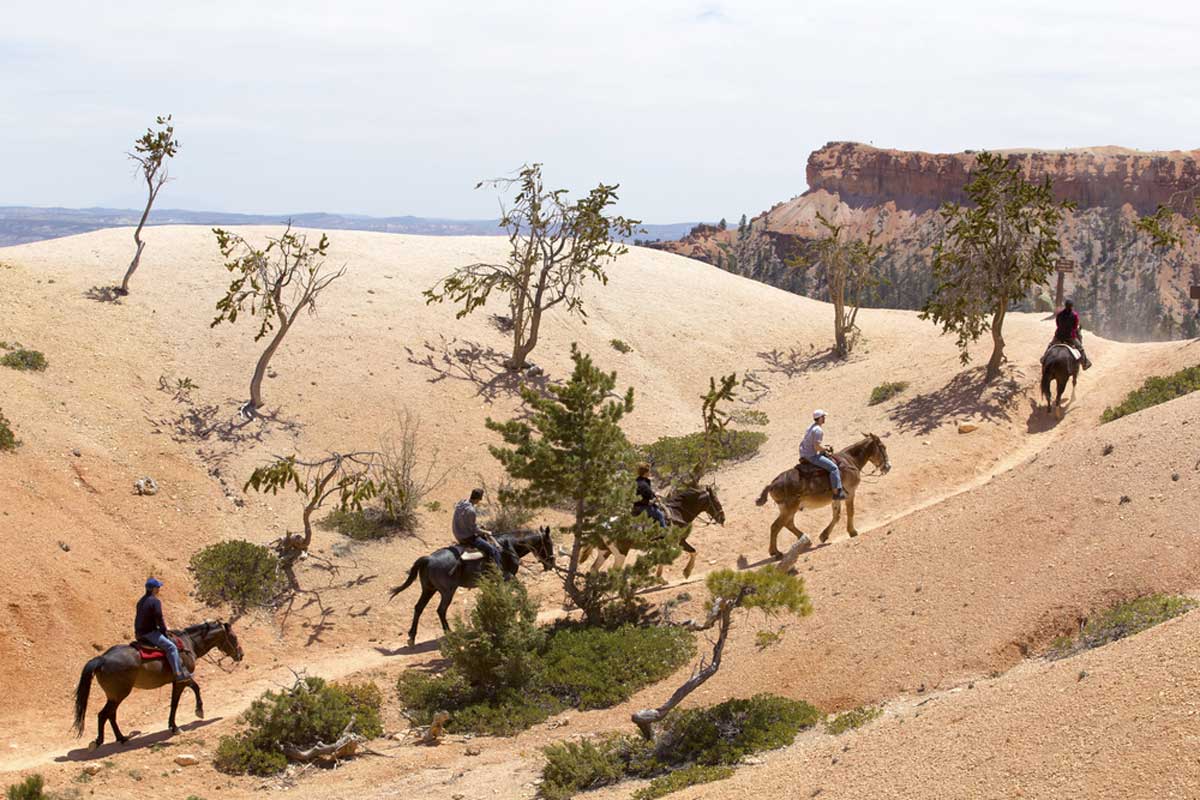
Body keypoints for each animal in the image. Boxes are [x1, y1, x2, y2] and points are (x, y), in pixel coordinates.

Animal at [70, 618, 243, 753]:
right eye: (233, 637)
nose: (241, 654)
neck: (188, 644)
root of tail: (102, 659)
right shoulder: (182, 679)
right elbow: (188, 694)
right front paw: (195, 713)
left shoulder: (177, 681)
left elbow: (176, 701)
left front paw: (174, 724)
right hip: (119, 694)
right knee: (104, 714)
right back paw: (99, 741)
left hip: (114, 696)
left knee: (110, 714)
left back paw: (122, 738)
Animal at [388, 525, 556, 652]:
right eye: (549, 544)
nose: (551, 564)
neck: (508, 547)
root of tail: (428, 559)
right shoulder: (509, 578)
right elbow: (522, 592)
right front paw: (522, 613)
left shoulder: (495, 582)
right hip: (447, 591)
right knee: (441, 610)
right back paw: (450, 634)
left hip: (429, 589)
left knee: (419, 607)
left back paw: (412, 637)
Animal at [578, 484, 720, 578]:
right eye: (717, 503)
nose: (722, 518)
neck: (676, 513)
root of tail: (601, 525)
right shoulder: (679, 541)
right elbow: (694, 552)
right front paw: (687, 571)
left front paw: (660, 577)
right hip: (621, 553)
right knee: (613, 571)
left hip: (605, 550)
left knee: (594, 568)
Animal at [758, 434, 892, 561]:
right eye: (883, 447)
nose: (888, 466)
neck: (850, 460)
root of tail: (773, 484)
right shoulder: (851, 493)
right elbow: (850, 512)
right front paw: (852, 532)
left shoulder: (836, 498)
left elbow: (836, 516)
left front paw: (824, 535)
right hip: (789, 508)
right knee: (776, 526)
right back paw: (775, 552)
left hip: (789, 509)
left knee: (788, 524)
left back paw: (805, 540)